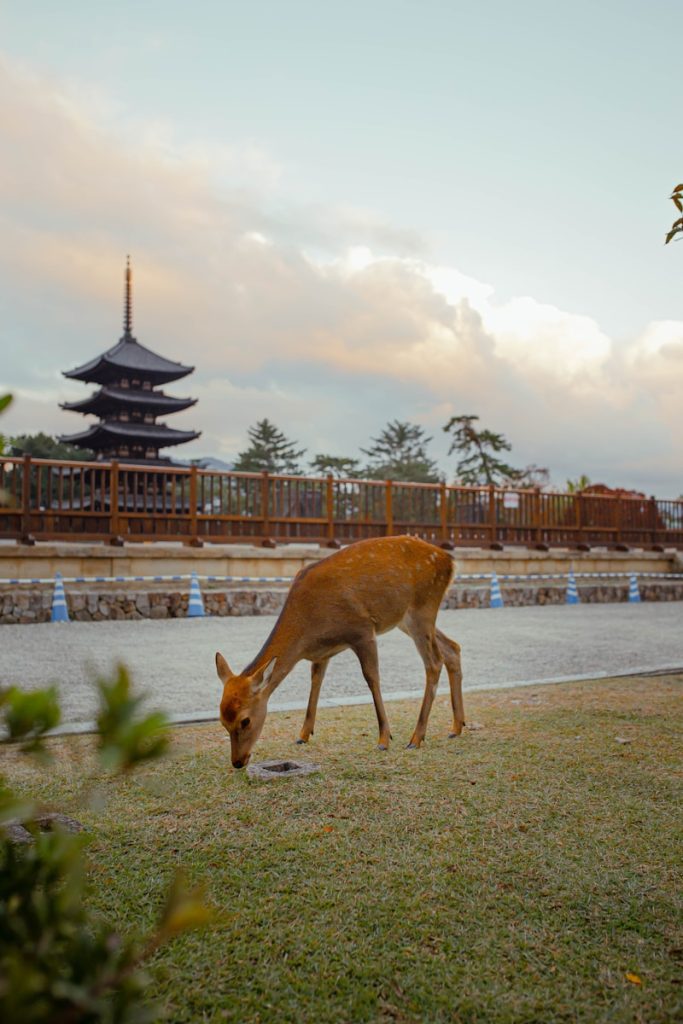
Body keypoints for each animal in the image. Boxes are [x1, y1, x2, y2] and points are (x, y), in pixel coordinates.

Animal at [215, 534, 464, 768]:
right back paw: (456, 727)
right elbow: (316, 681)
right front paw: (303, 734)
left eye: (245, 720)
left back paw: (416, 737)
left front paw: (384, 739)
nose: (237, 762)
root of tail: (450, 561)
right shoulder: (321, 652)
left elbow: (372, 678)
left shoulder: (362, 630)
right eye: (222, 721)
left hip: (422, 608)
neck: (307, 630)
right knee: (452, 648)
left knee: (434, 662)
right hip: (407, 619)